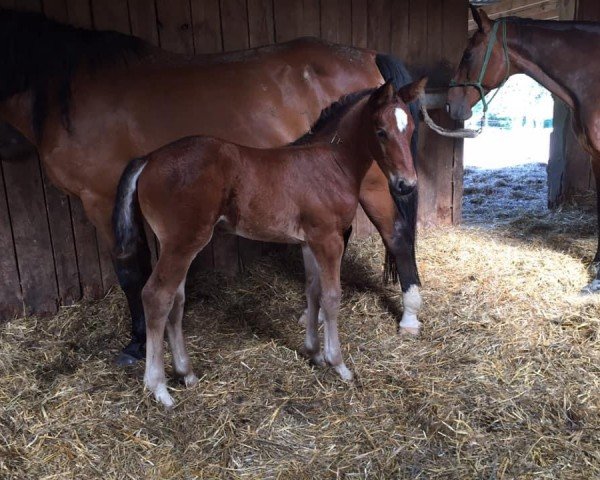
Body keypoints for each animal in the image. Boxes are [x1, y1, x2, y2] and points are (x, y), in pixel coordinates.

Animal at [0, 10, 422, 364]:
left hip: (375, 182)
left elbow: (129, 271)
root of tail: (367, 55)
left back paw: (409, 314)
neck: (64, 90)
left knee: (397, 233)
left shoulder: (101, 201)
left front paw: (137, 342)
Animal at [111, 79, 422, 408]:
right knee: (156, 297)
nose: (406, 184)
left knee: (176, 299)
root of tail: (148, 159)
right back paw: (159, 388)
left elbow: (312, 291)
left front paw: (314, 353)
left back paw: (186, 373)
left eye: (411, 129)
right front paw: (338, 364)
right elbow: (331, 297)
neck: (331, 163)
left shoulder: (309, 241)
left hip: (173, 245)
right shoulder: (328, 238)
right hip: (183, 243)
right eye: (381, 131)